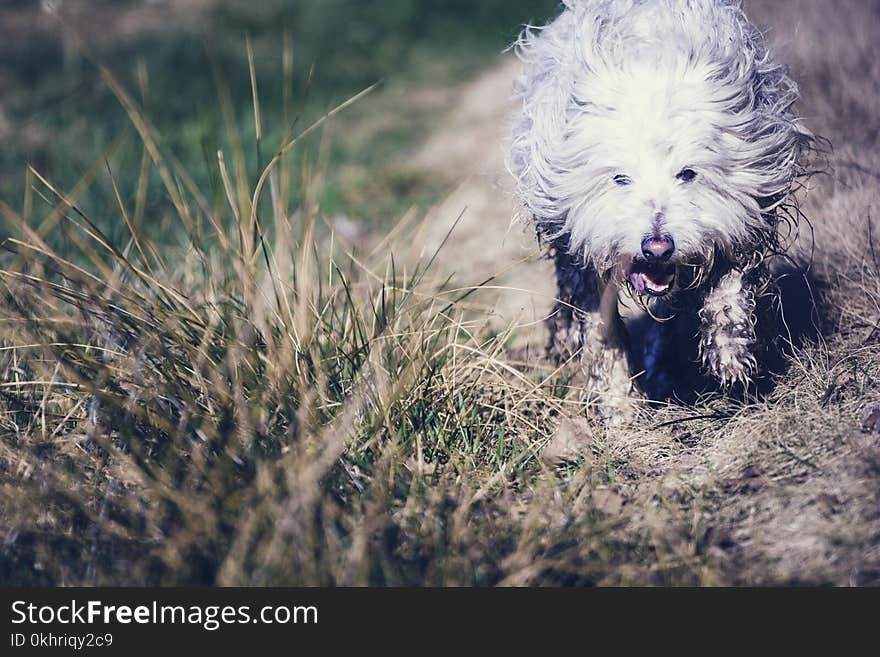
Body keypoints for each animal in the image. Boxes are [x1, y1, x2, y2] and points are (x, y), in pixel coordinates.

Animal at [506, 0, 816, 418]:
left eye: (687, 173)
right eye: (620, 179)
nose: (657, 247)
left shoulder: (744, 208)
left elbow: (729, 286)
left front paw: (729, 352)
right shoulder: (580, 244)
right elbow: (601, 330)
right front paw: (620, 404)